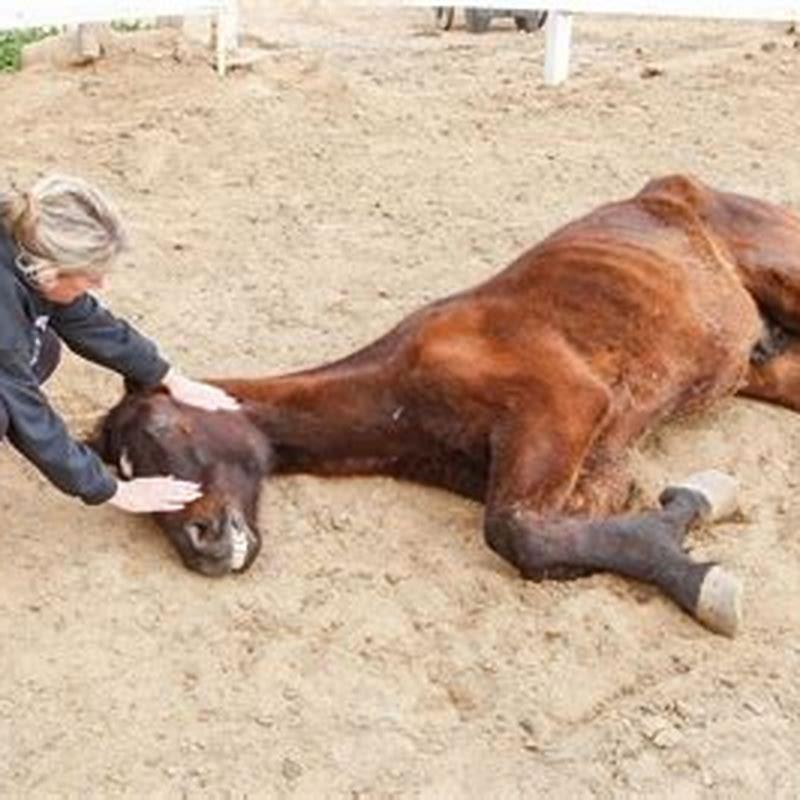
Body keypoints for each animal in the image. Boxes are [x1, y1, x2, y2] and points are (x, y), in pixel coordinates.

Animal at [92, 174, 800, 636]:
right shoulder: (593, 468)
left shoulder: (565, 405)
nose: (202, 545)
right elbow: (556, 534)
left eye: (163, 429)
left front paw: (697, 550)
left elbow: (514, 534)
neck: (403, 393)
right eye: (122, 473)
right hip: (760, 368)